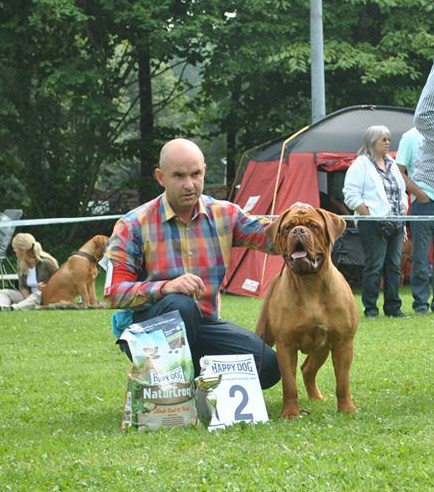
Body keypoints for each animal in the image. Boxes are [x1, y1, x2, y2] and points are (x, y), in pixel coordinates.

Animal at [256, 206, 358, 418]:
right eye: (287, 228)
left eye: (314, 226)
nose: (298, 231)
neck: (310, 284)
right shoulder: (285, 345)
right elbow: (289, 384)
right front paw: (290, 413)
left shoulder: (343, 343)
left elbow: (343, 382)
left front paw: (347, 409)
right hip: (264, 334)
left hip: (322, 348)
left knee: (307, 369)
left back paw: (316, 398)